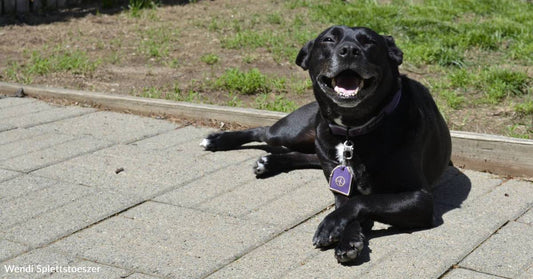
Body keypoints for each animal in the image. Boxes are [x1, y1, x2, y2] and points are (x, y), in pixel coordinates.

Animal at [200, 25, 448, 264]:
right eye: (328, 39)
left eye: (369, 41)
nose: (349, 50)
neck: (353, 131)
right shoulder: (342, 188)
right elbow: (351, 203)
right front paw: (348, 236)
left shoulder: (420, 199)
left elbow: (365, 201)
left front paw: (336, 229)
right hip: (291, 132)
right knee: (263, 131)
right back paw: (217, 140)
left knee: (304, 156)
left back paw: (268, 162)